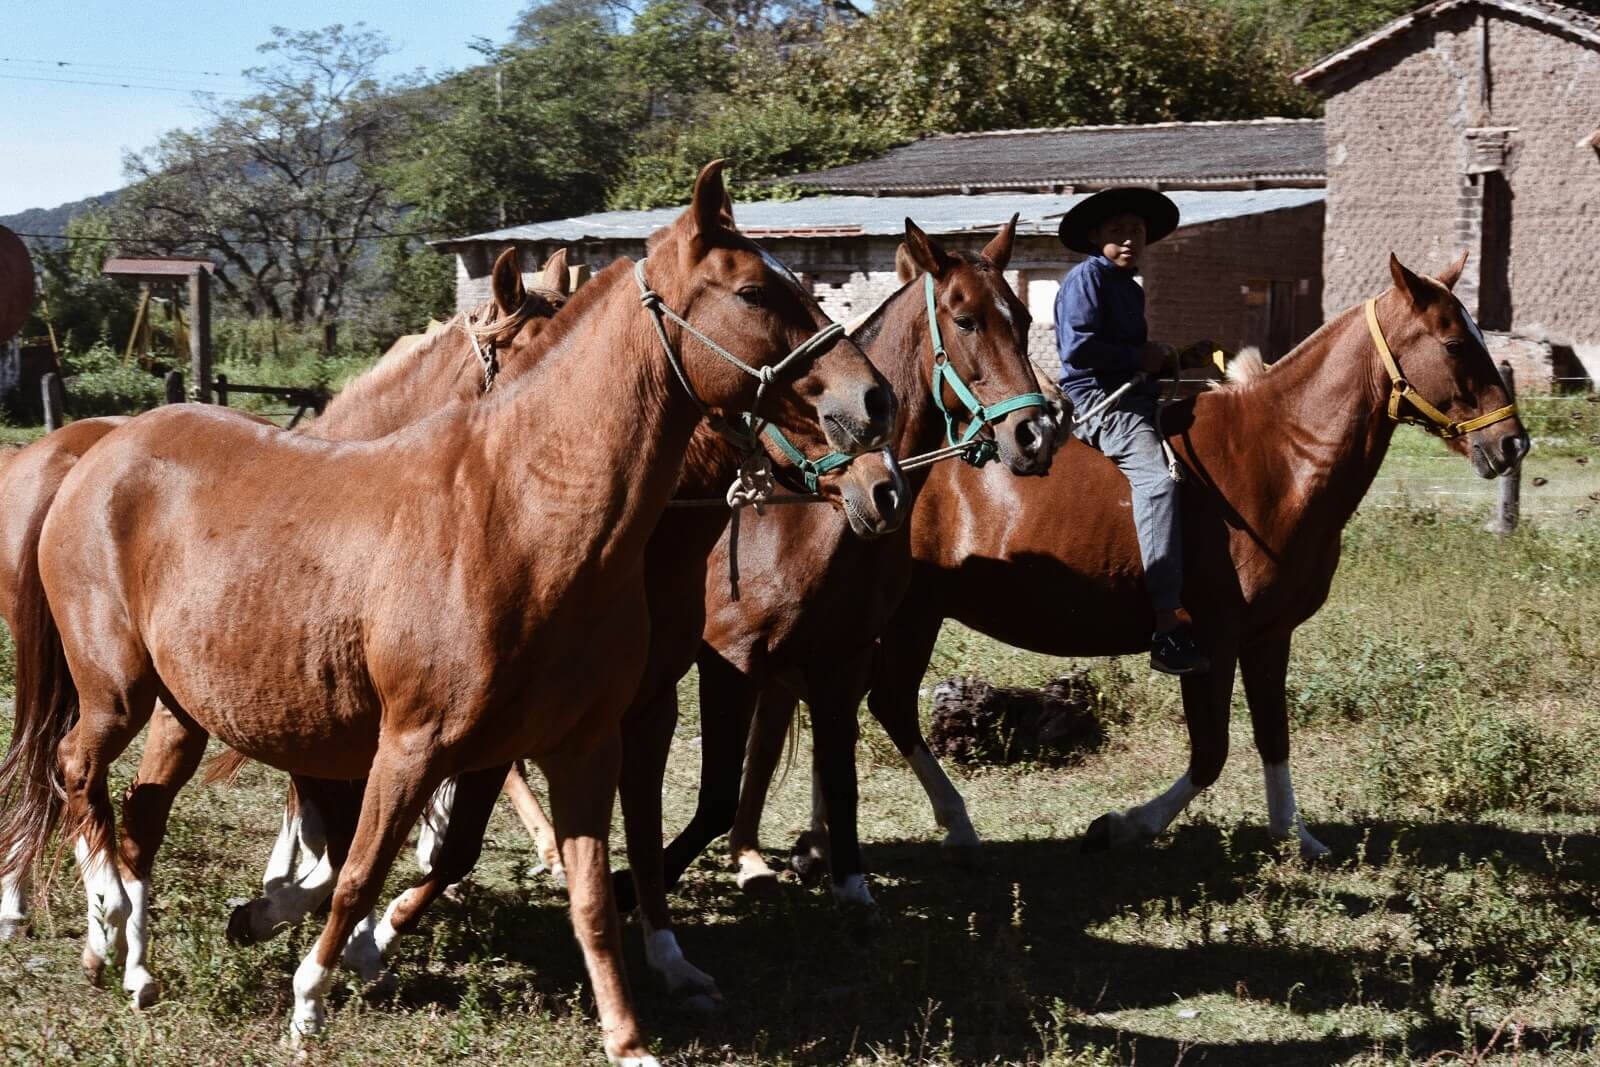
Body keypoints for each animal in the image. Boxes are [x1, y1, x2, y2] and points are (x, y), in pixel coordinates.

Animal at [0, 163, 896, 1062]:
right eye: (753, 291)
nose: (875, 403)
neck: (521, 513)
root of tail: (100, 451)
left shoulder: (583, 745)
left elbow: (588, 897)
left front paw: (629, 1033)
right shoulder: (410, 743)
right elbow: (359, 869)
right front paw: (310, 995)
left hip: (184, 709)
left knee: (141, 812)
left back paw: (136, 965)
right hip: (117, 692)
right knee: (74, 769)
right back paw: (104, 914)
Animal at [732, 254, 1529, 883]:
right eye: (1454, 341)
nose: (1513, 443)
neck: (1281, 454)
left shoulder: (1270, 637)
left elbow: (1273, 737)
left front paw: (1295, 837)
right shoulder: (1210, 642)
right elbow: (1211, 754)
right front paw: (1120, 827)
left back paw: (820, 842)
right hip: (908, 616)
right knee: (884, 707)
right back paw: (942, 826)